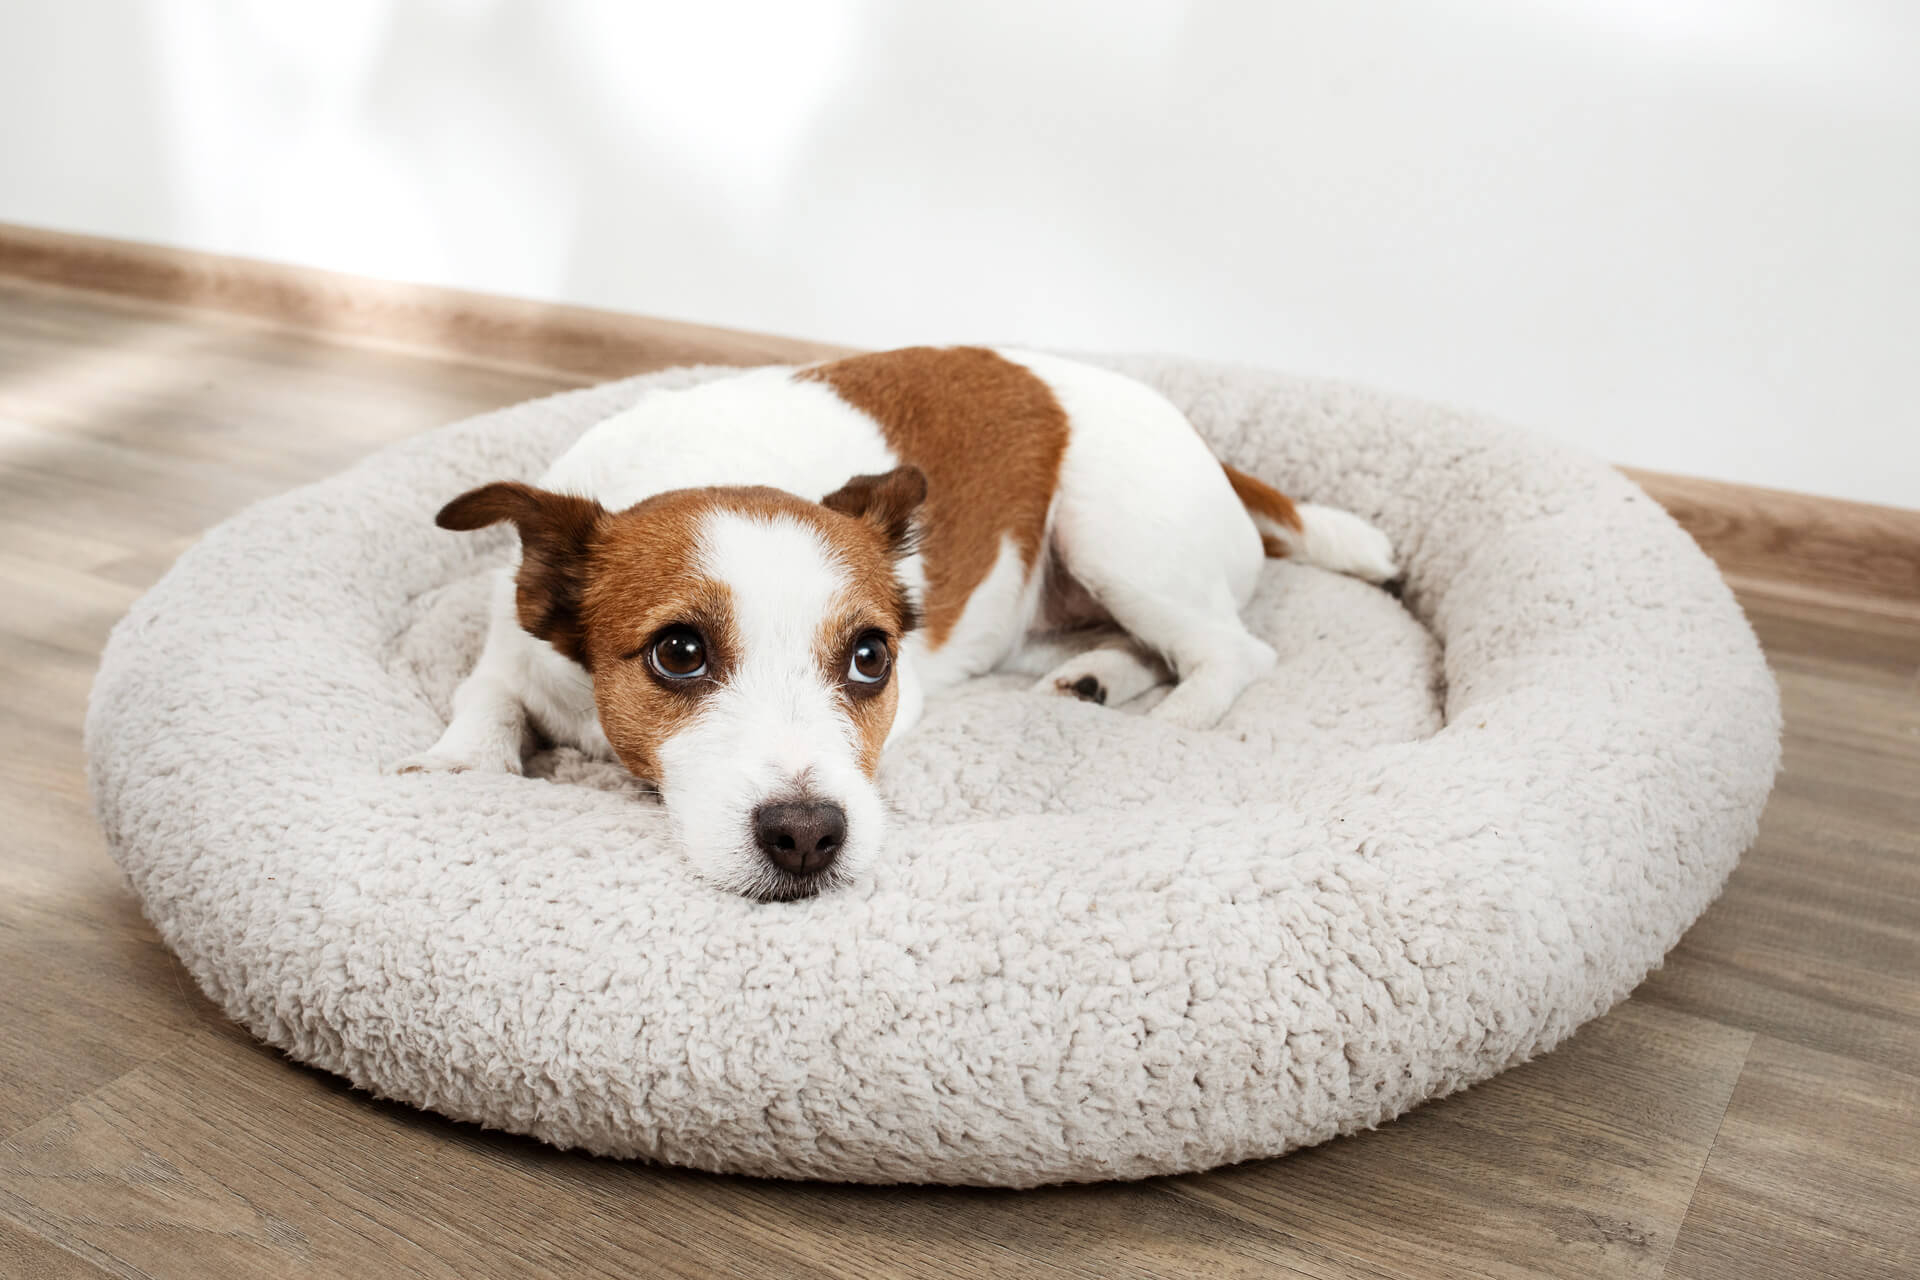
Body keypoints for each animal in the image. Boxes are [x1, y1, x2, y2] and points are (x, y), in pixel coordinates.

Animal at [405, 345, 1397, 898]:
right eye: (678, 652)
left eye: (870, 657)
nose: (808, 836)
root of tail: (1216, 458)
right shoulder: (513, 654)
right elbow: (485, 697)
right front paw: (461, 761)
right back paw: (1096, 678)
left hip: (1115, 533)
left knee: (1231, 649)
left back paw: (1176, 718)